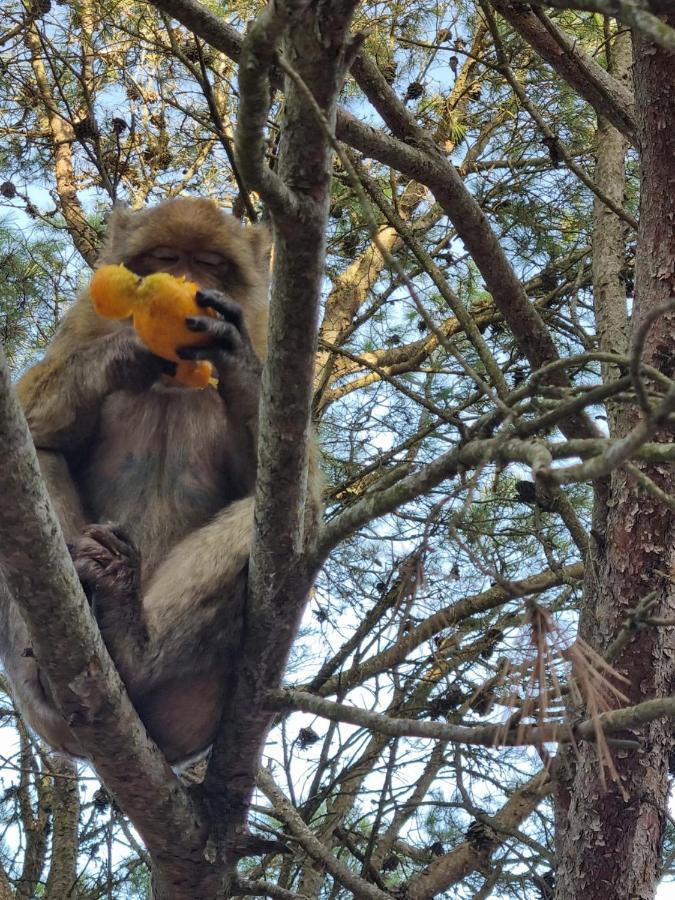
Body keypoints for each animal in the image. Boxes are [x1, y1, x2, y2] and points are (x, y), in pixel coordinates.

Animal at [0, 199, 316, 768]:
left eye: (210, 264)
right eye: (166, 257)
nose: (186, 281)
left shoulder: (273, 340)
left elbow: (297, 486)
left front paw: (236, 362)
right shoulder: (85, 321)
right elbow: (32, 426)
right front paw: (125, 350)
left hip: (199, 708)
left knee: (287, 521)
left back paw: (131, 644)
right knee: (36, 462)